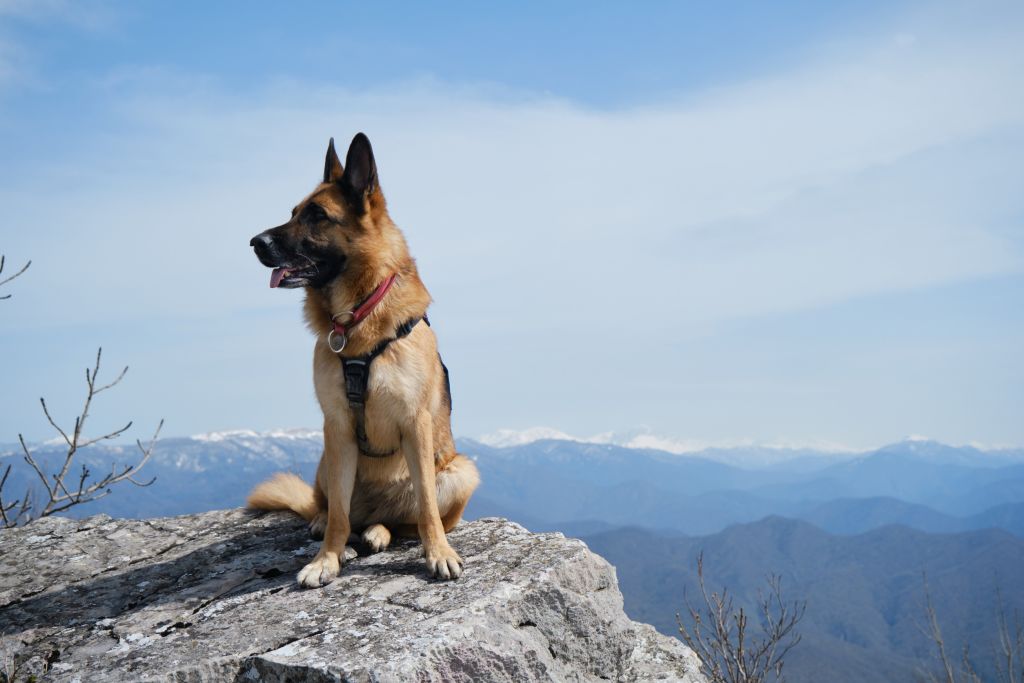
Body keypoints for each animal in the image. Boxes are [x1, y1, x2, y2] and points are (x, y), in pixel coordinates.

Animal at [245, 133, 477, 589]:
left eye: (317, 215)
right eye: (293, 213)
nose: (255, 242)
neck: (358, 316)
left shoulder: (415, 424)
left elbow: (426, 510)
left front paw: (439, 553)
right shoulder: (336, 427)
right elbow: (338, 514)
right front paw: (326, 559)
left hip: (460, 471)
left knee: (404, 521)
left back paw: (380, 531)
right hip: (326, 459)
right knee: (335, 510)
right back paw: (334, 525)